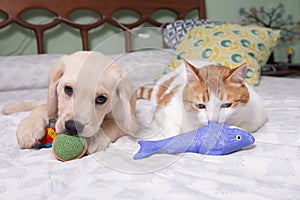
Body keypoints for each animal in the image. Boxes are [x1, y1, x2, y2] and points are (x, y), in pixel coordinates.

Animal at [138, 60, 268, 140]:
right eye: (200, 106)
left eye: (226, 105)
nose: (213, 121)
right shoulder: (163, 111)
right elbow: (171, 130)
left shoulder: (256, 117)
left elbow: (244, 128)